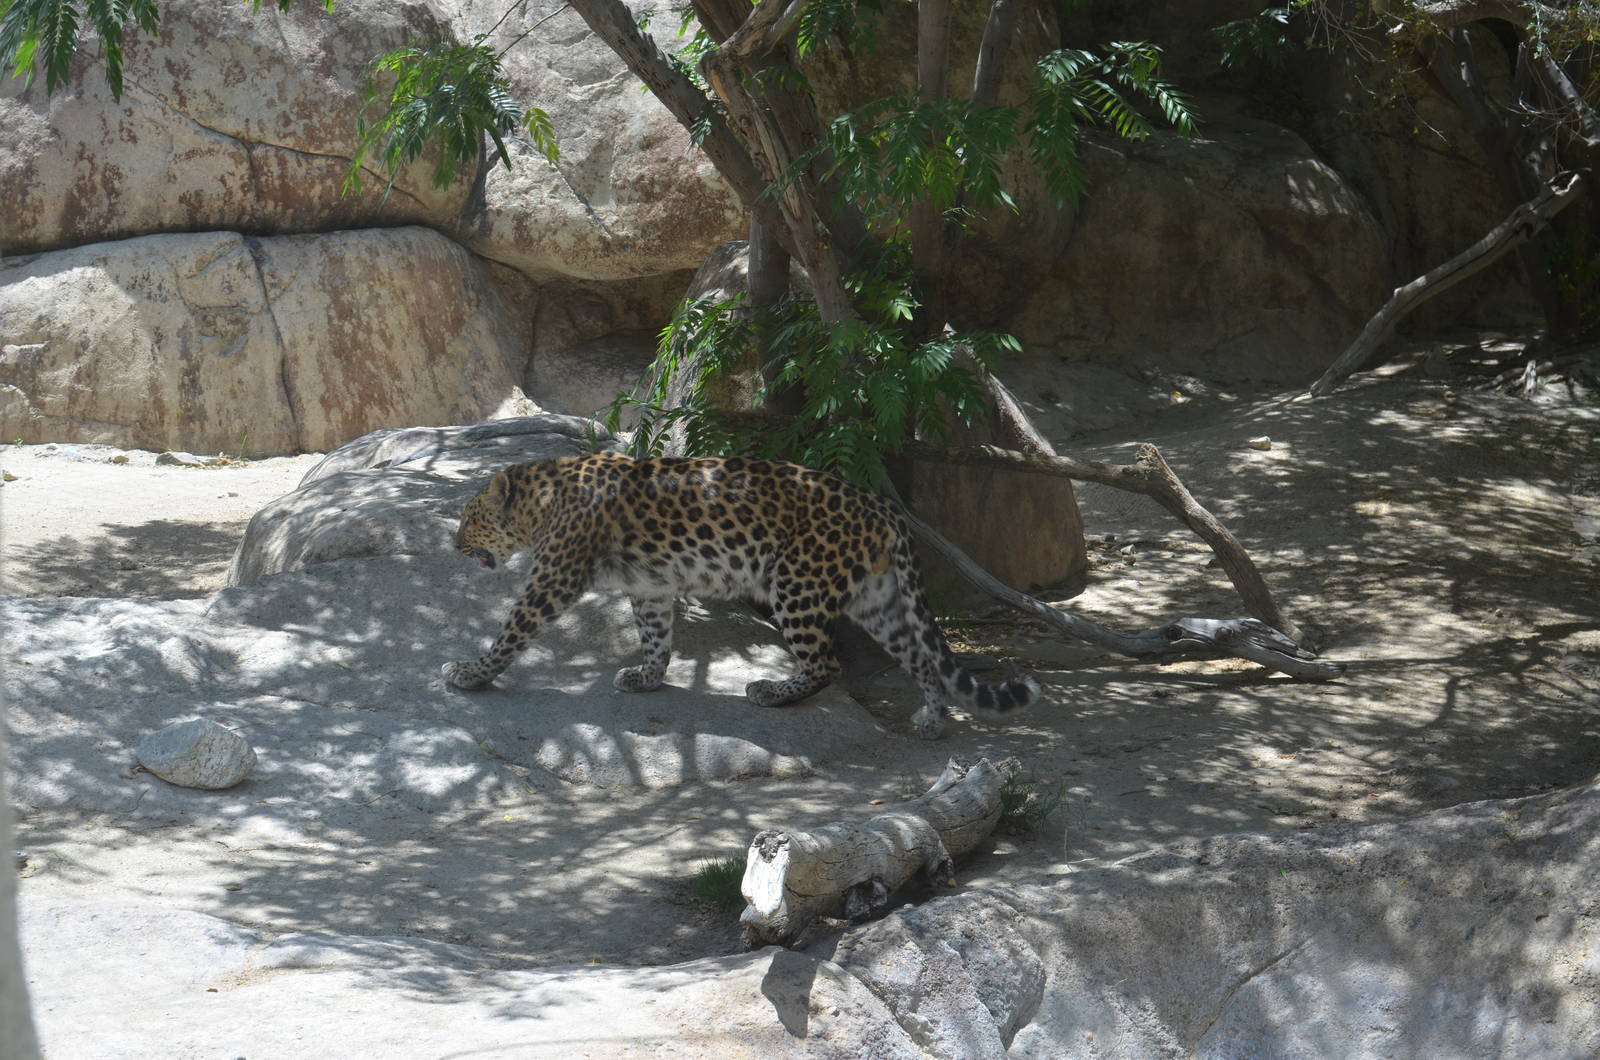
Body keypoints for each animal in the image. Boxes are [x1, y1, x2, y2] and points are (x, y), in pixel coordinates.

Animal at [441, 450, 1038, 739]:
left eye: (470, 517)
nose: (454, 543)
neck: (541, 501)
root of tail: (881, 504)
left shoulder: (553, 579)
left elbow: (512, 630)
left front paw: (470, 673)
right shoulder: (649, 585)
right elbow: (656, 635)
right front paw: (647, 678)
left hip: (797, 582)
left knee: (826, 662)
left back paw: (771, 692)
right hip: (877, 597)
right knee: (919, 655)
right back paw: (932, 720)